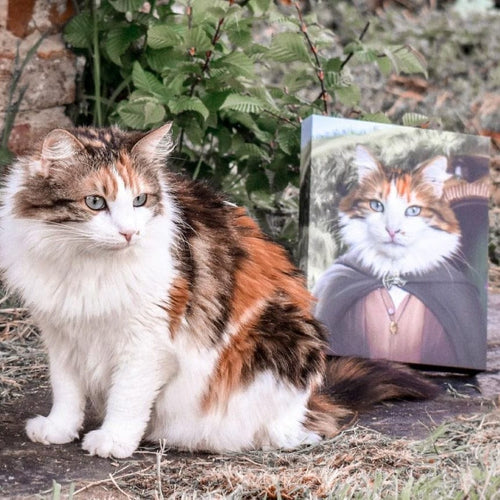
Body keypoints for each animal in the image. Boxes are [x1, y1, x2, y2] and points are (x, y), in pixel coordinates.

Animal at [0, 125, 436, 458]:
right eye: (95, 202)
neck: (85, 264)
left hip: (280, 338)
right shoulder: (62, 332)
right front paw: (58, 429)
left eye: (140, 200)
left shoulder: (147, 340)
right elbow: (66, 390)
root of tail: (311, 403)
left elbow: (127, 395)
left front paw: (113, 440)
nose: (129, 233)